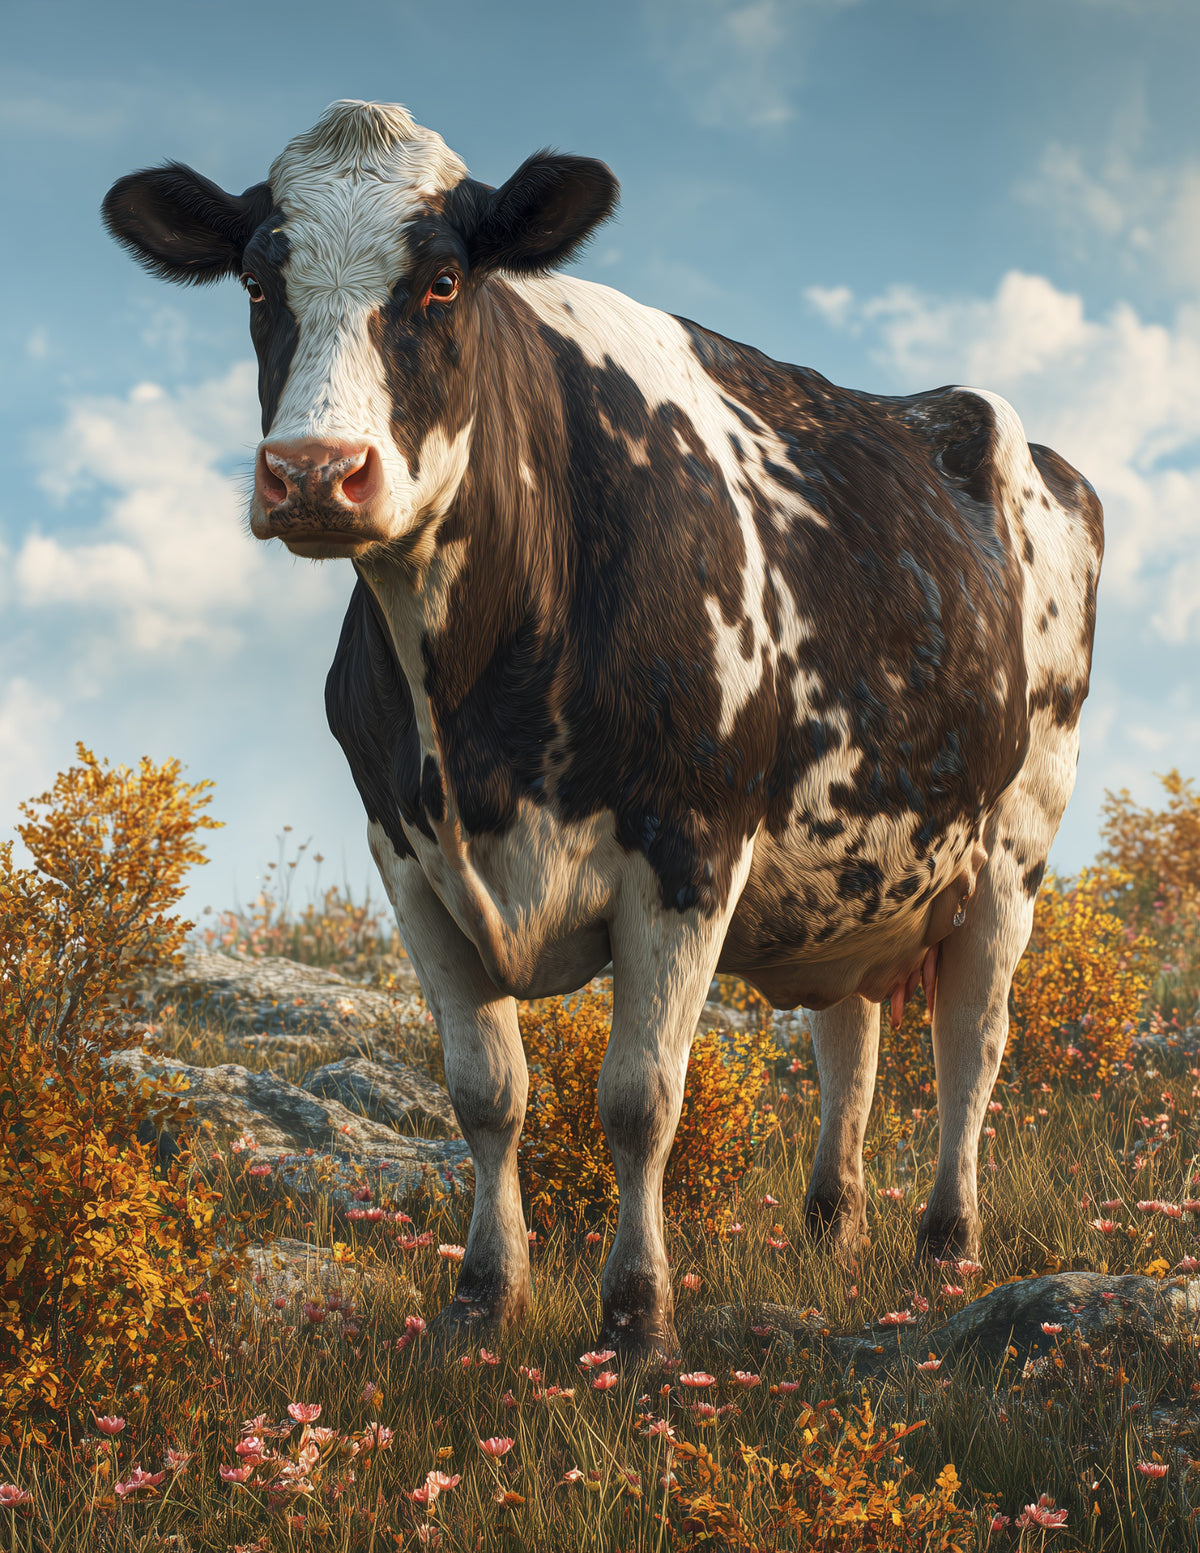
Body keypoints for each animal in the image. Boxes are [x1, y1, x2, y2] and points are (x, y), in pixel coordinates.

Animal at [104, 100, 1103, 1359]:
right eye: (253, 279)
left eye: (442, 281)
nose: (315, 472)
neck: (479, 720)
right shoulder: (406, 856)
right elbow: (486, 1090)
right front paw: (484, 1298)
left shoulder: (691, 847)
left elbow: (639, 1099)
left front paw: (636, 1320)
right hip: (859, 860)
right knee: (852, 1038)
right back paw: (832, 1233)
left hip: (1014, 843)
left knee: (972, 1038)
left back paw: (946, 1245)